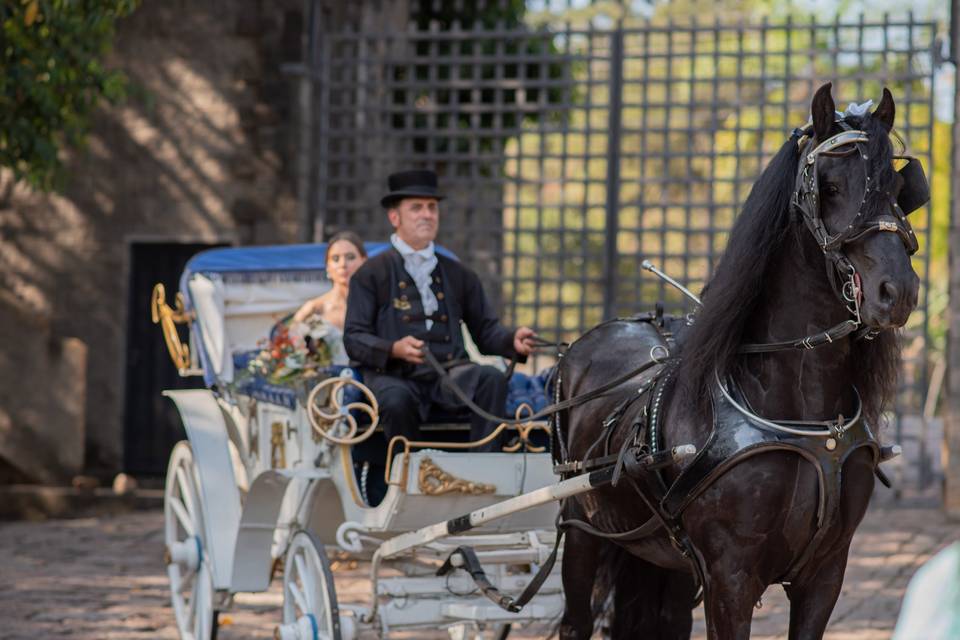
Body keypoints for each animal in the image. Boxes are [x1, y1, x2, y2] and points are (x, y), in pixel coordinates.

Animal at [560, 82, 928, 636]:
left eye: (898, 190)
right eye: (829, 187)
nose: (897, 291)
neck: (799, 411)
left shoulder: (826, 574)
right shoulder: (730, 579)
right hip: (581, 530)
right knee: (574, 620)